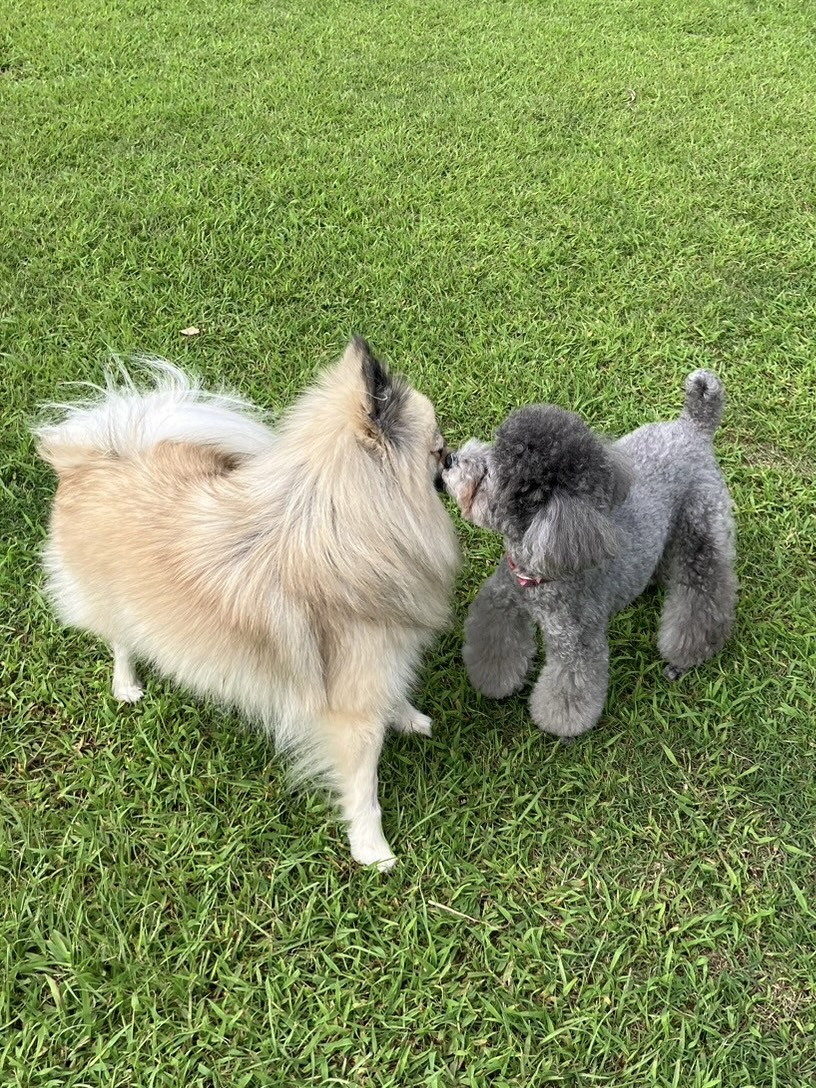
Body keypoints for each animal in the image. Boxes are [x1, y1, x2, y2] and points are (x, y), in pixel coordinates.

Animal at [34, 336, 460, 868]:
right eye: (437, 445)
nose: (454, 456)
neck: (345, 526)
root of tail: (92, 457)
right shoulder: (351, 712)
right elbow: (364, 789)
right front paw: (373, 851)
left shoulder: (376, 667)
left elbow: (394, 694)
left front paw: (408, 718)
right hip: (113, 599)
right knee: (120, 641)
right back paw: (126, 685)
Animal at [441, 371, 737, 739]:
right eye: (491, 448)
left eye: (488, 477)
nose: (448, 459)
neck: (537, 571)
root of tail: (694, 427)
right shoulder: (502, 605)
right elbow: (495, 642)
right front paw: (494, 681)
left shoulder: (576, 642)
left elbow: (571, 686)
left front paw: (559, 723)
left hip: (703, 535)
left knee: (704, 597)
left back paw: (686, 653)